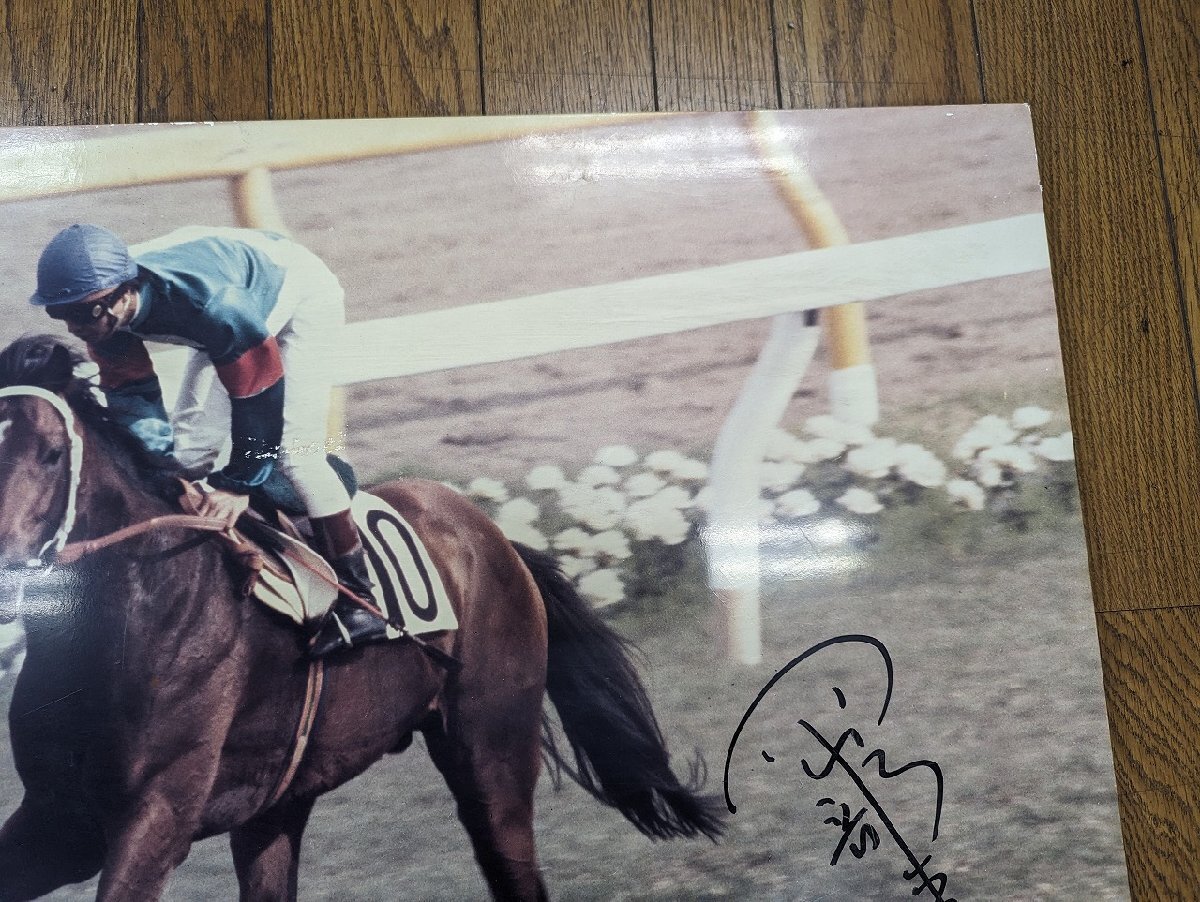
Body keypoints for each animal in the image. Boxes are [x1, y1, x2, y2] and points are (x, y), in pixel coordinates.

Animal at [0, 335, 720, 897]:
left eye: (51, 454)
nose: (5, 561)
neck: (136, 615)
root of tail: (493, 535)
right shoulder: (59, 819)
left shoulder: (155, 815)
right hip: (277, 803)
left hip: (492, 756)